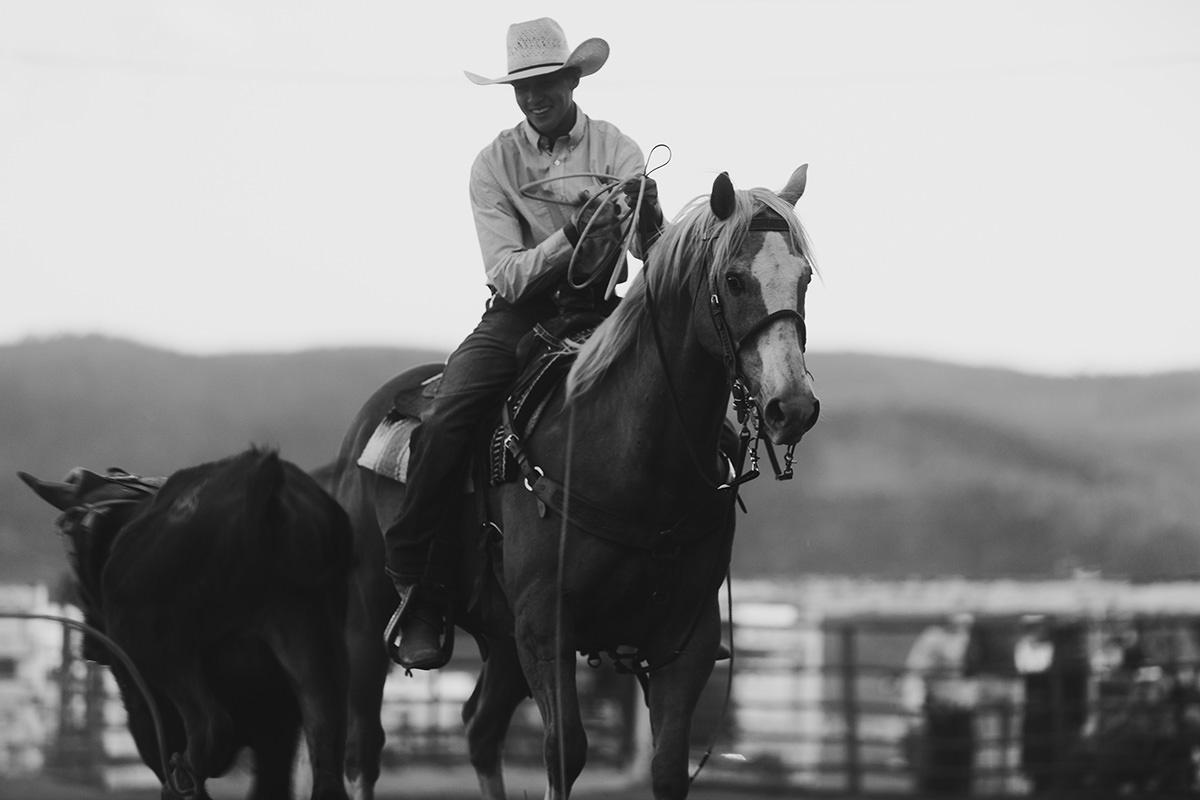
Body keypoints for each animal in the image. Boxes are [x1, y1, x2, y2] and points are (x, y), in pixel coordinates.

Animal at [21, 448, 350, 796]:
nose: (89, 648)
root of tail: (263, 491)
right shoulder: (278, 726)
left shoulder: (138, 692)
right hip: (311, 645)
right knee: (325, 750)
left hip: (159, 650)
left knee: (210, 728)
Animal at [333, 165, 820, 796]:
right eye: (734, 280)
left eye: (804, 278)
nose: (794, 407)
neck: (630, 455)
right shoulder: (547, 630)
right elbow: (564, 751)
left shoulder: (683, 641)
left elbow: (668, 765)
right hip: (367, 621)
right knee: (365, 749)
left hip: (502, 642)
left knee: (480, 729)